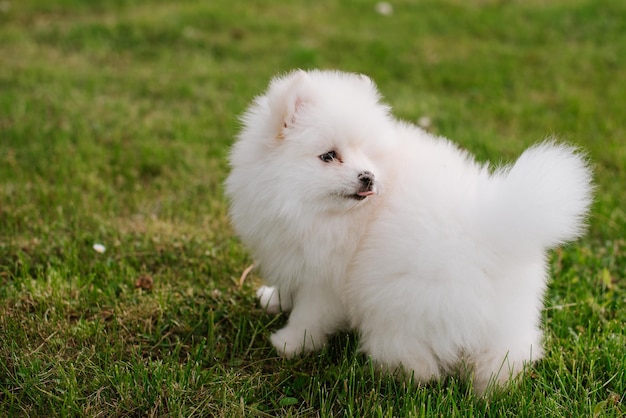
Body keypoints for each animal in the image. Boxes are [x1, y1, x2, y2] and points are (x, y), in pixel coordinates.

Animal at [223, 70, 588, 394]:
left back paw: (384, 375)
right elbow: (290, 286)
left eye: (366, 153)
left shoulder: (328, 282)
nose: (368, 176)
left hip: (400, 306)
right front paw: (273, 299)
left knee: (419, 365)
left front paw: (289, 343)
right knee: (506, 356)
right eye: (328, 156)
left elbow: (310, 315)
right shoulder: (295, 251)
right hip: (507, 322)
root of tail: (495, 234)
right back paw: (491, 389)